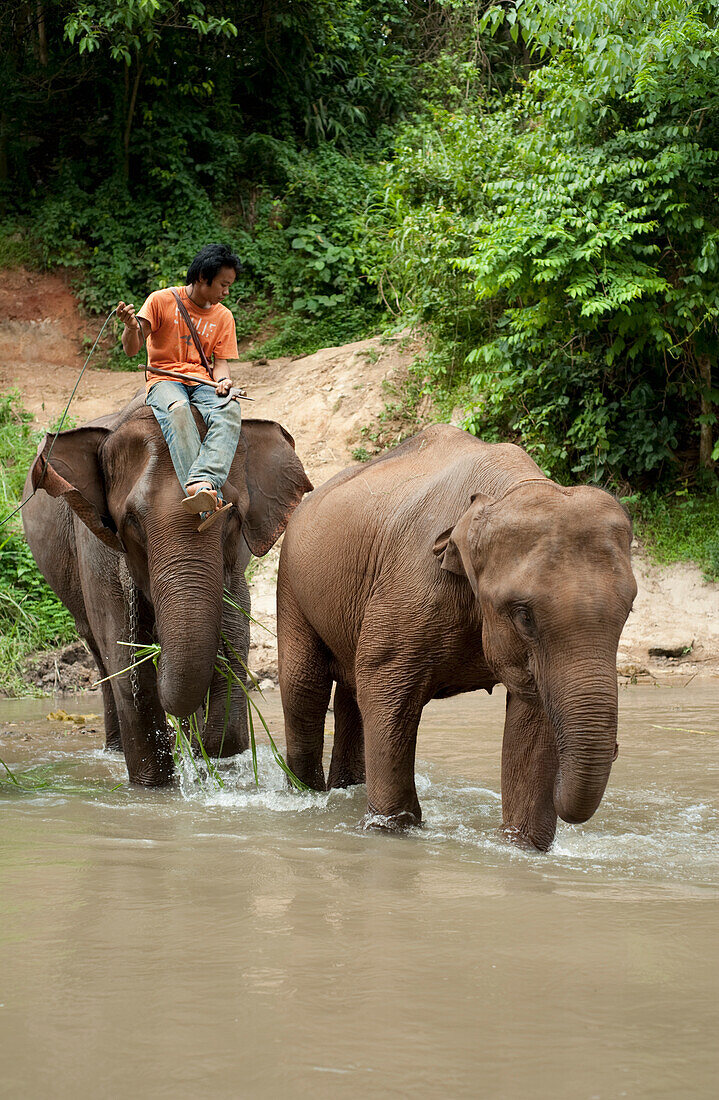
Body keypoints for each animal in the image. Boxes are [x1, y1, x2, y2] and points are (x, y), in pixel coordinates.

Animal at [24, 400, 312, 787]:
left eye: (232, 513)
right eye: (131, 520)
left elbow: (235, 631)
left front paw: (211, 753)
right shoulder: (96, 547)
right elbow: (124, 655)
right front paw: (153, 787)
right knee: (99, 652)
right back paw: (118, 749)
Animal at [279, 422, 637, 849]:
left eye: (629, 610)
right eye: (524, 616)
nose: (617, 749)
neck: (503, 491)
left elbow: (534, 717)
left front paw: (522, 847)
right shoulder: (412, 586)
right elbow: (385, 691)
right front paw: (390, 830)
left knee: (350, 693)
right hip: (291, 583)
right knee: (305, 687)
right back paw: (305, 796)